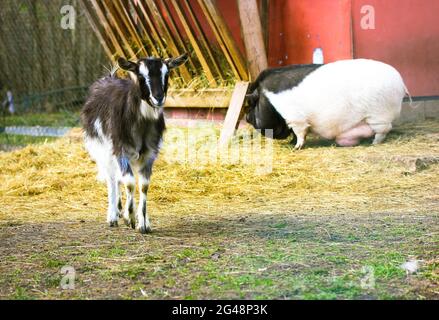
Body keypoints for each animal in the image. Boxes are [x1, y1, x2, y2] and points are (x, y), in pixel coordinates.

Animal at [81, 53, 188, 232]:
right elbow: (130, 182)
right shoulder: (120, 149)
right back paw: (113, 216)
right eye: (141, 75)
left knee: (119, 178)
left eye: (166, 74)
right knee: (112, 179)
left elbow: (143, 185)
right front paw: (129, 217)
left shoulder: (149, 153)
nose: (158, 97)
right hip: (102, 149)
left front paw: (143, 223)